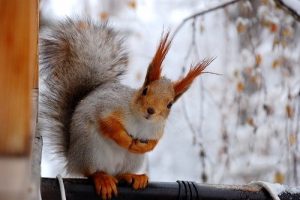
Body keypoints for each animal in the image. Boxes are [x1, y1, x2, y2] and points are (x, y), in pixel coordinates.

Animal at [38, 18, 213, 198]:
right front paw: (125, 140)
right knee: (91, 172)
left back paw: (133, 176)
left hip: (132, 160)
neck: (142, 121)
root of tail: (72, 159)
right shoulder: (108, 106)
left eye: (169, 104)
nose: (151, 110)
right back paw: (102, 178)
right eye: (145, 91)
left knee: (120, 174)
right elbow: (107, 123)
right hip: (90, 149)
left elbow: (154, 142)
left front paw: (145, 146)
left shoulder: (157, 130)